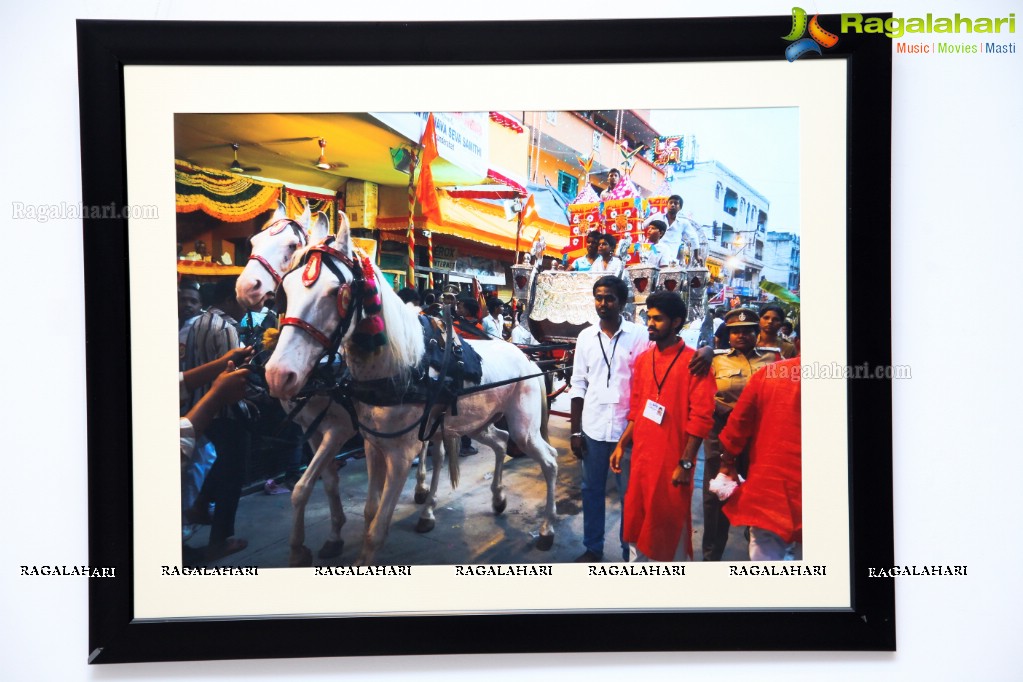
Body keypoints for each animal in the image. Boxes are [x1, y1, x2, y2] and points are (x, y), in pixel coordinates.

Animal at [237, 204, 454, 572]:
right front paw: (332, 535)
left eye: (291, 247)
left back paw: (428, 508)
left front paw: (301, 547)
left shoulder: (339, 427)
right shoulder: (310, 428)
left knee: (437, 452)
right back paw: (421, 486)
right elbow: (326, 482)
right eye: (253, 241)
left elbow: (303, 487)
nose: (245, 288)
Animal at [263, 229, 560, 564]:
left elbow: (376, 528)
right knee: (499, 441)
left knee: (548, 459)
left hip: (524, 428)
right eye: (285, 291)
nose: (278, 374)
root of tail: (529, 359)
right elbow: (367, 509)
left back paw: (547, 529)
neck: (401, 367)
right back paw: (497, 498)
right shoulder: (370, 445)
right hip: (475, 422)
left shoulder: (396, 452)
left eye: (335, 293)